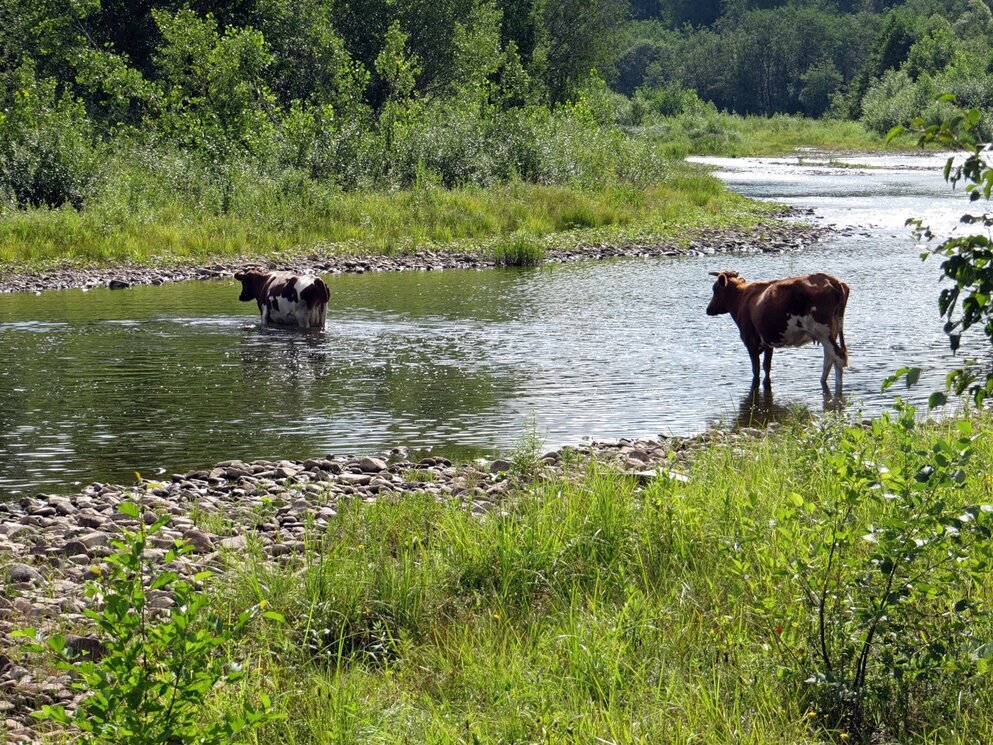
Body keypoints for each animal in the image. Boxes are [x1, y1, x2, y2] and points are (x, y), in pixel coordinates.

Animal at [700, 270, 848, 392]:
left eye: (715, 289)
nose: (708, 309)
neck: (742, 298)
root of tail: (829, 279)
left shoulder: (750, 341)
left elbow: (756, 370)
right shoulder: (768, 341)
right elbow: (767, 367)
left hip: (822, 331)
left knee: (838, 356)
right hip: (832, 331)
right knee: (829, 357)